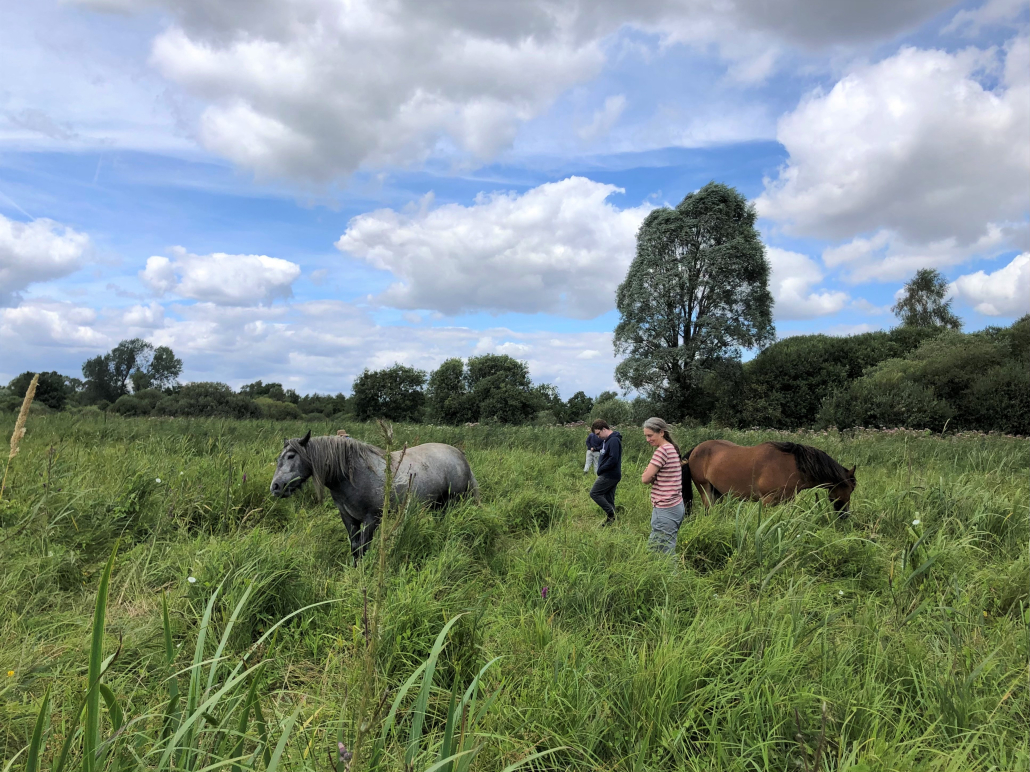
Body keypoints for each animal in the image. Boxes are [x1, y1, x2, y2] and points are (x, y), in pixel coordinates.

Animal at [270, 431, 480, 559]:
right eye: (279, 458)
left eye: (291, 456)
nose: (275, 487)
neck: (352, 474)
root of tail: (461, 456)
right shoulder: (349, 518)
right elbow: (355, 547)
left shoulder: (372, 519)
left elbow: (364, 548)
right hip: (438, 506)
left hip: (451, 503)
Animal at [682, 440, 857, 515]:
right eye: (849, 488)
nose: (845, 514)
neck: (793, 466)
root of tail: (695, 449)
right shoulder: (766, 500)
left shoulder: (788, 501)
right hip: (706, 491)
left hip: (718, 493)